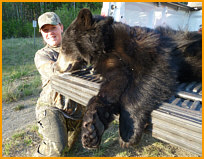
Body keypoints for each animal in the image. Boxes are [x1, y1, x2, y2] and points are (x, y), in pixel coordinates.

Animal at [54, 8, 202, 149]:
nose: (56, 67)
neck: (107, 44)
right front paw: (92, 128)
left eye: (63, 48)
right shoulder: (113, 65)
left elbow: (153, 73)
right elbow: (113, 86)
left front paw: (128, 132)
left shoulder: (147, 47)